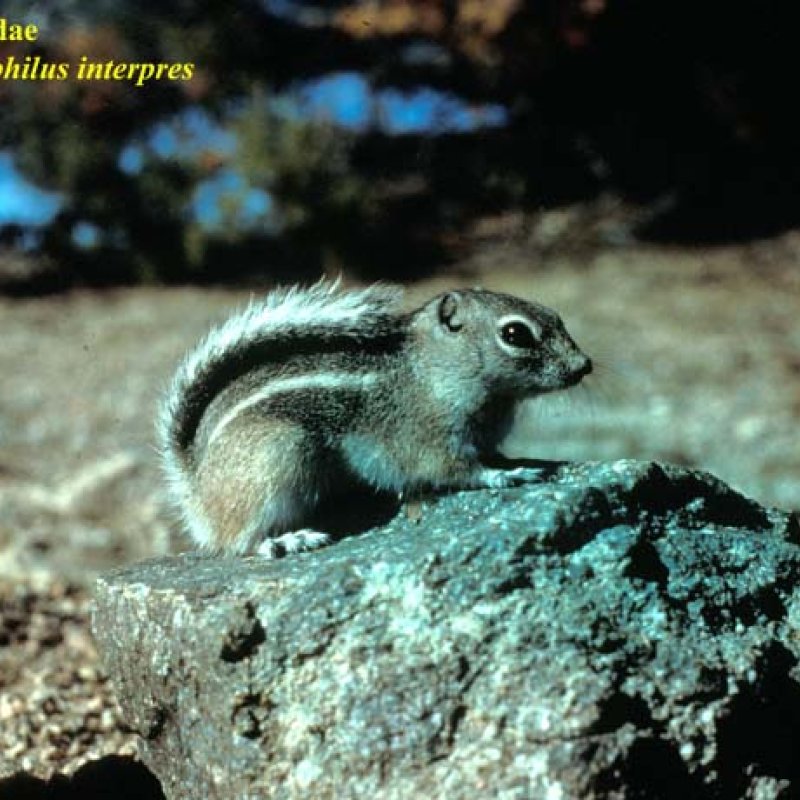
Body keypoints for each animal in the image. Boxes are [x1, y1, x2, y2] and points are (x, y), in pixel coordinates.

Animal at [158, 282, 592, 556]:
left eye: (555, 315)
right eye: (516, 334)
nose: (583, 365)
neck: (433, 371)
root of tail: (196, 491)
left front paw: (509, 462)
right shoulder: (429, 439)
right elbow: (458, 471)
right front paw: (509, 475)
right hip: (278, 457)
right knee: (238, 541)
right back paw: (287, 541)